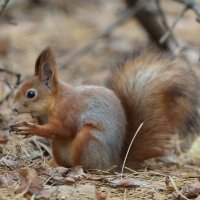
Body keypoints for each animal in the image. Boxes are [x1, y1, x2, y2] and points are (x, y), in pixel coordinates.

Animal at [11, 46, 200, 169]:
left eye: (31, 94)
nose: (13, 108)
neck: (56, 101)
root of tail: (113, 164)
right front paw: (27, 123)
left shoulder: (69, 111)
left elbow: (64, 129)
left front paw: (32, 128)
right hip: (58, 146)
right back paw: (53, 164)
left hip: (88, 140)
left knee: (85, 165)